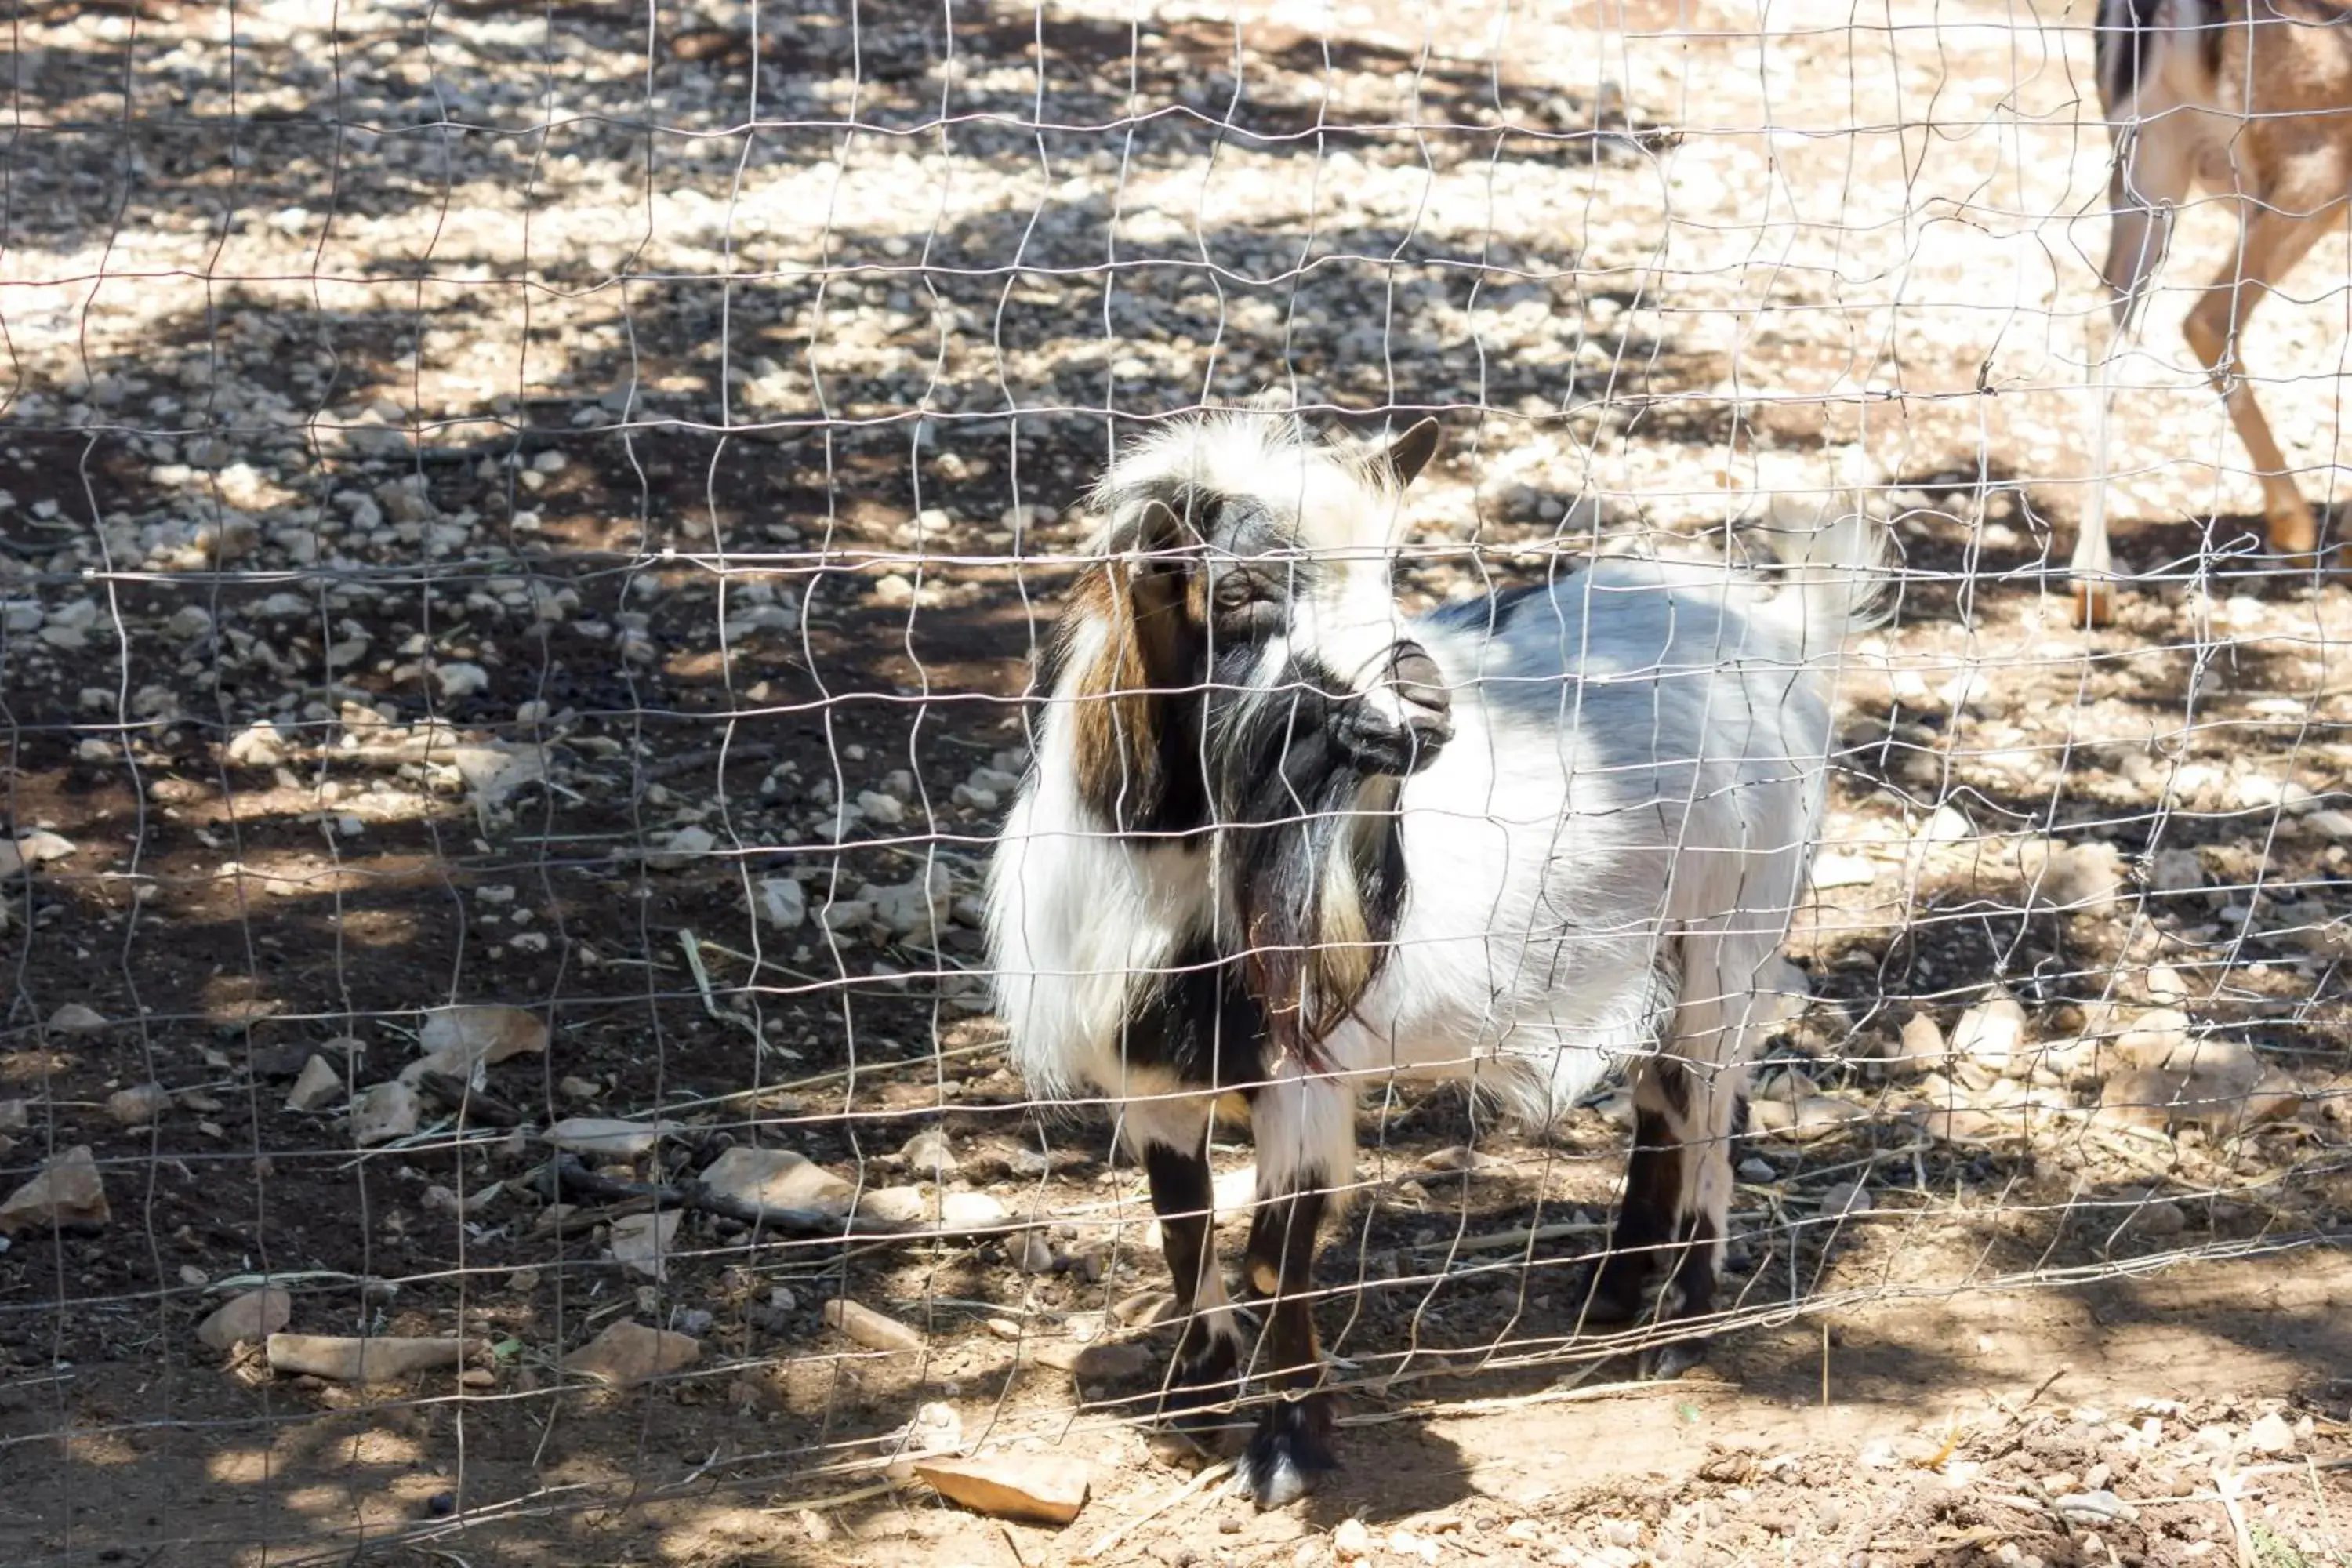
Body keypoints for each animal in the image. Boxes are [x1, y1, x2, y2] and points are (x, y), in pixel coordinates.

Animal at [983, 411, 1882, 1514]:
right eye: (1239, 590)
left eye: (1387, 569)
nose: (1420, 706)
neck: (1172, 856)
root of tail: (1781, 628)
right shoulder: (1151, 1071)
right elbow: (1182, 1224)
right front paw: (1195, 1399)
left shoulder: (1306, 1073)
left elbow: (1276, 1256)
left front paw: (1286, 1446)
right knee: (1664, 1098)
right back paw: (1616, 1291)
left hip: (1732, 924)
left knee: (1705, 1096)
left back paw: (1680, 1313)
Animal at [2089, 0, 2343, 625]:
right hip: (2309, 170)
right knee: (2207, 316)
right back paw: (2295, 528)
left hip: (2148, 156)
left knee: (2105, 325)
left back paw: (2094, 588)